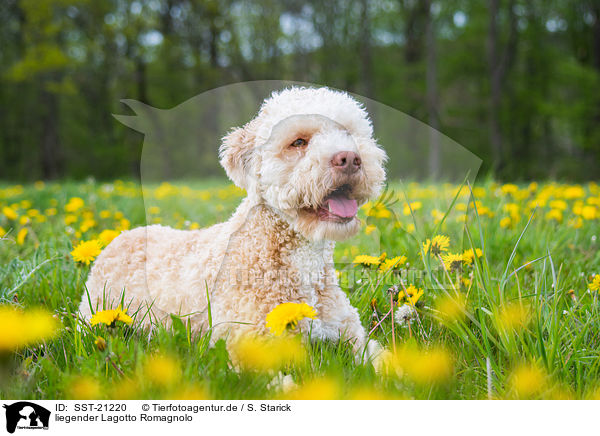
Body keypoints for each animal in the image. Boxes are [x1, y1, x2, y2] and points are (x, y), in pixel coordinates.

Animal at [79, 87, 386, 362]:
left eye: (349, 133)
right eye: (299, 142)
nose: (350, 158)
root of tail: (121, 236)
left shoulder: (354, 338)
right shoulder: (248, 344)